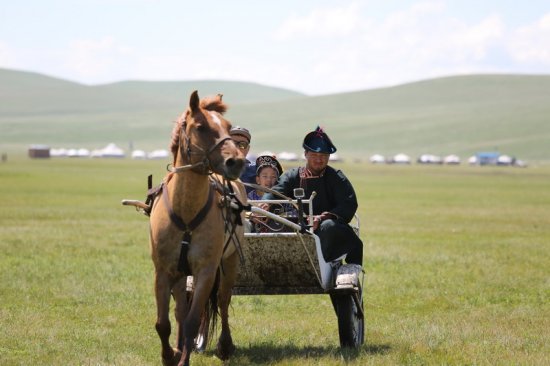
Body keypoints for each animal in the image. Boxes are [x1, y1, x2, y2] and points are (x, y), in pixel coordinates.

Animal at [149, 91, 248, 366]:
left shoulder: (205, 271)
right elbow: (163, 323)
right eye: (201, 127)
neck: (186, 211)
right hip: (181, 273)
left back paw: (225, 346)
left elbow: (193, 321)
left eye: (227, 127)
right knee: (180, 310)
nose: (237, 162)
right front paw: (170, 355)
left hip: (229, 263)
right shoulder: (163, 271)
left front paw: (183, 358)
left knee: (223, 301)